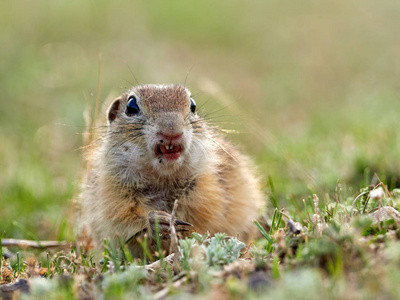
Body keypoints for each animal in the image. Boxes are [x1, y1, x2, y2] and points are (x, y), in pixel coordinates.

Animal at [79, 83, 264, 256]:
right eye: (131, 106)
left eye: (193, 105)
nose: (171, 132)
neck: (162, 178)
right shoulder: (112, 193)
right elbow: (122, 221)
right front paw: (157, 222)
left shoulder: (207, 190)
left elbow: (202, 221)